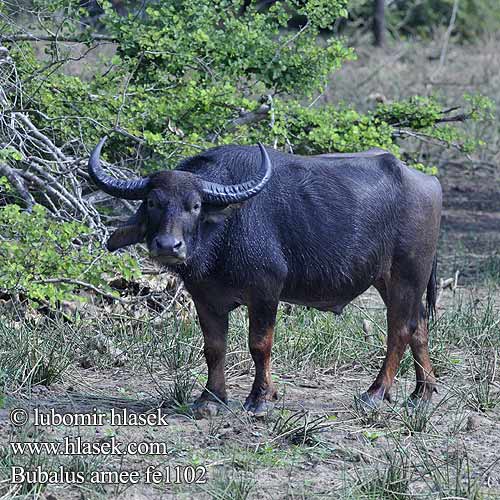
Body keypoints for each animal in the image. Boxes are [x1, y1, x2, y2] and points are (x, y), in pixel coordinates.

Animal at [88, 136, 440, 414]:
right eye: (153, 202)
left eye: (196, 205)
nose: (167, 245)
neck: (224, 233)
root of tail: (429, 183)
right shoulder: (204, 297)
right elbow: (214, 347)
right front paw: (210, 398)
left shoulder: (265, 292)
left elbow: (259, 345)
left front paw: (260, 398)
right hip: (388, 281)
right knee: (420, 326)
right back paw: (421, 393)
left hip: (406, 276)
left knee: (400, 330)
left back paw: (375, 393)